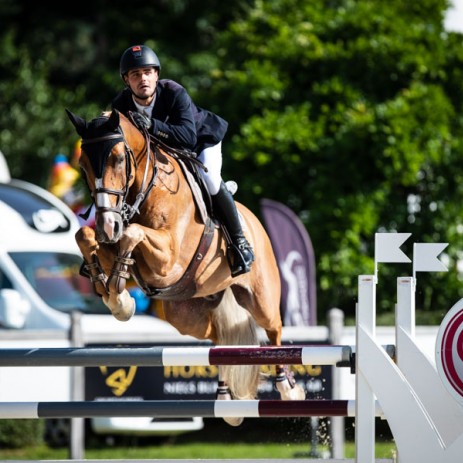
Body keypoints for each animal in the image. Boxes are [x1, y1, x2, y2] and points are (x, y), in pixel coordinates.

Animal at [65, 107, 304, 426]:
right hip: (185, 314)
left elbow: (132, 234)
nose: (107, 225)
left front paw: (119, 296)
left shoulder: (169, 261)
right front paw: (113, 292)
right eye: (83, 166)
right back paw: (226, 400)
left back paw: (289, 390)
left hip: (260, 298)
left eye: (117, 158)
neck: (144, 189)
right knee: (218, 336)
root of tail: (253, 220)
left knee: (274, 330)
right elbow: (85, 235)